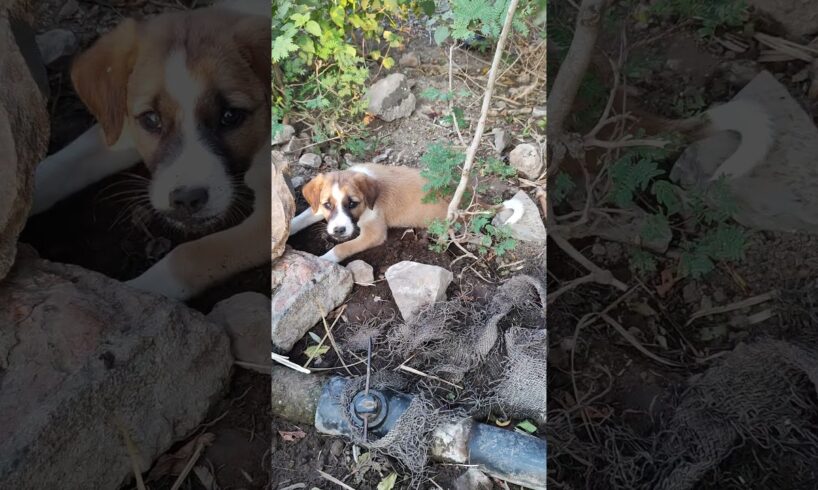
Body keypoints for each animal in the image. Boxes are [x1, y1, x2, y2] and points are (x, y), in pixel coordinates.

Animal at [29, 0, 270, 300]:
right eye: (151, 119)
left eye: (230, 116)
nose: (186, 200)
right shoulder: (120, 127)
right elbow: (59, 166)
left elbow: (188, 256)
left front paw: (129, 294)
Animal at [288, 164, 524, 264]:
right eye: (327, 205)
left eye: (353, 203)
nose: (338, 230)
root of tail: (473, 201)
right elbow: (302, 217)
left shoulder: (374, 233)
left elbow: (341, 247)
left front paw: (324, 262)